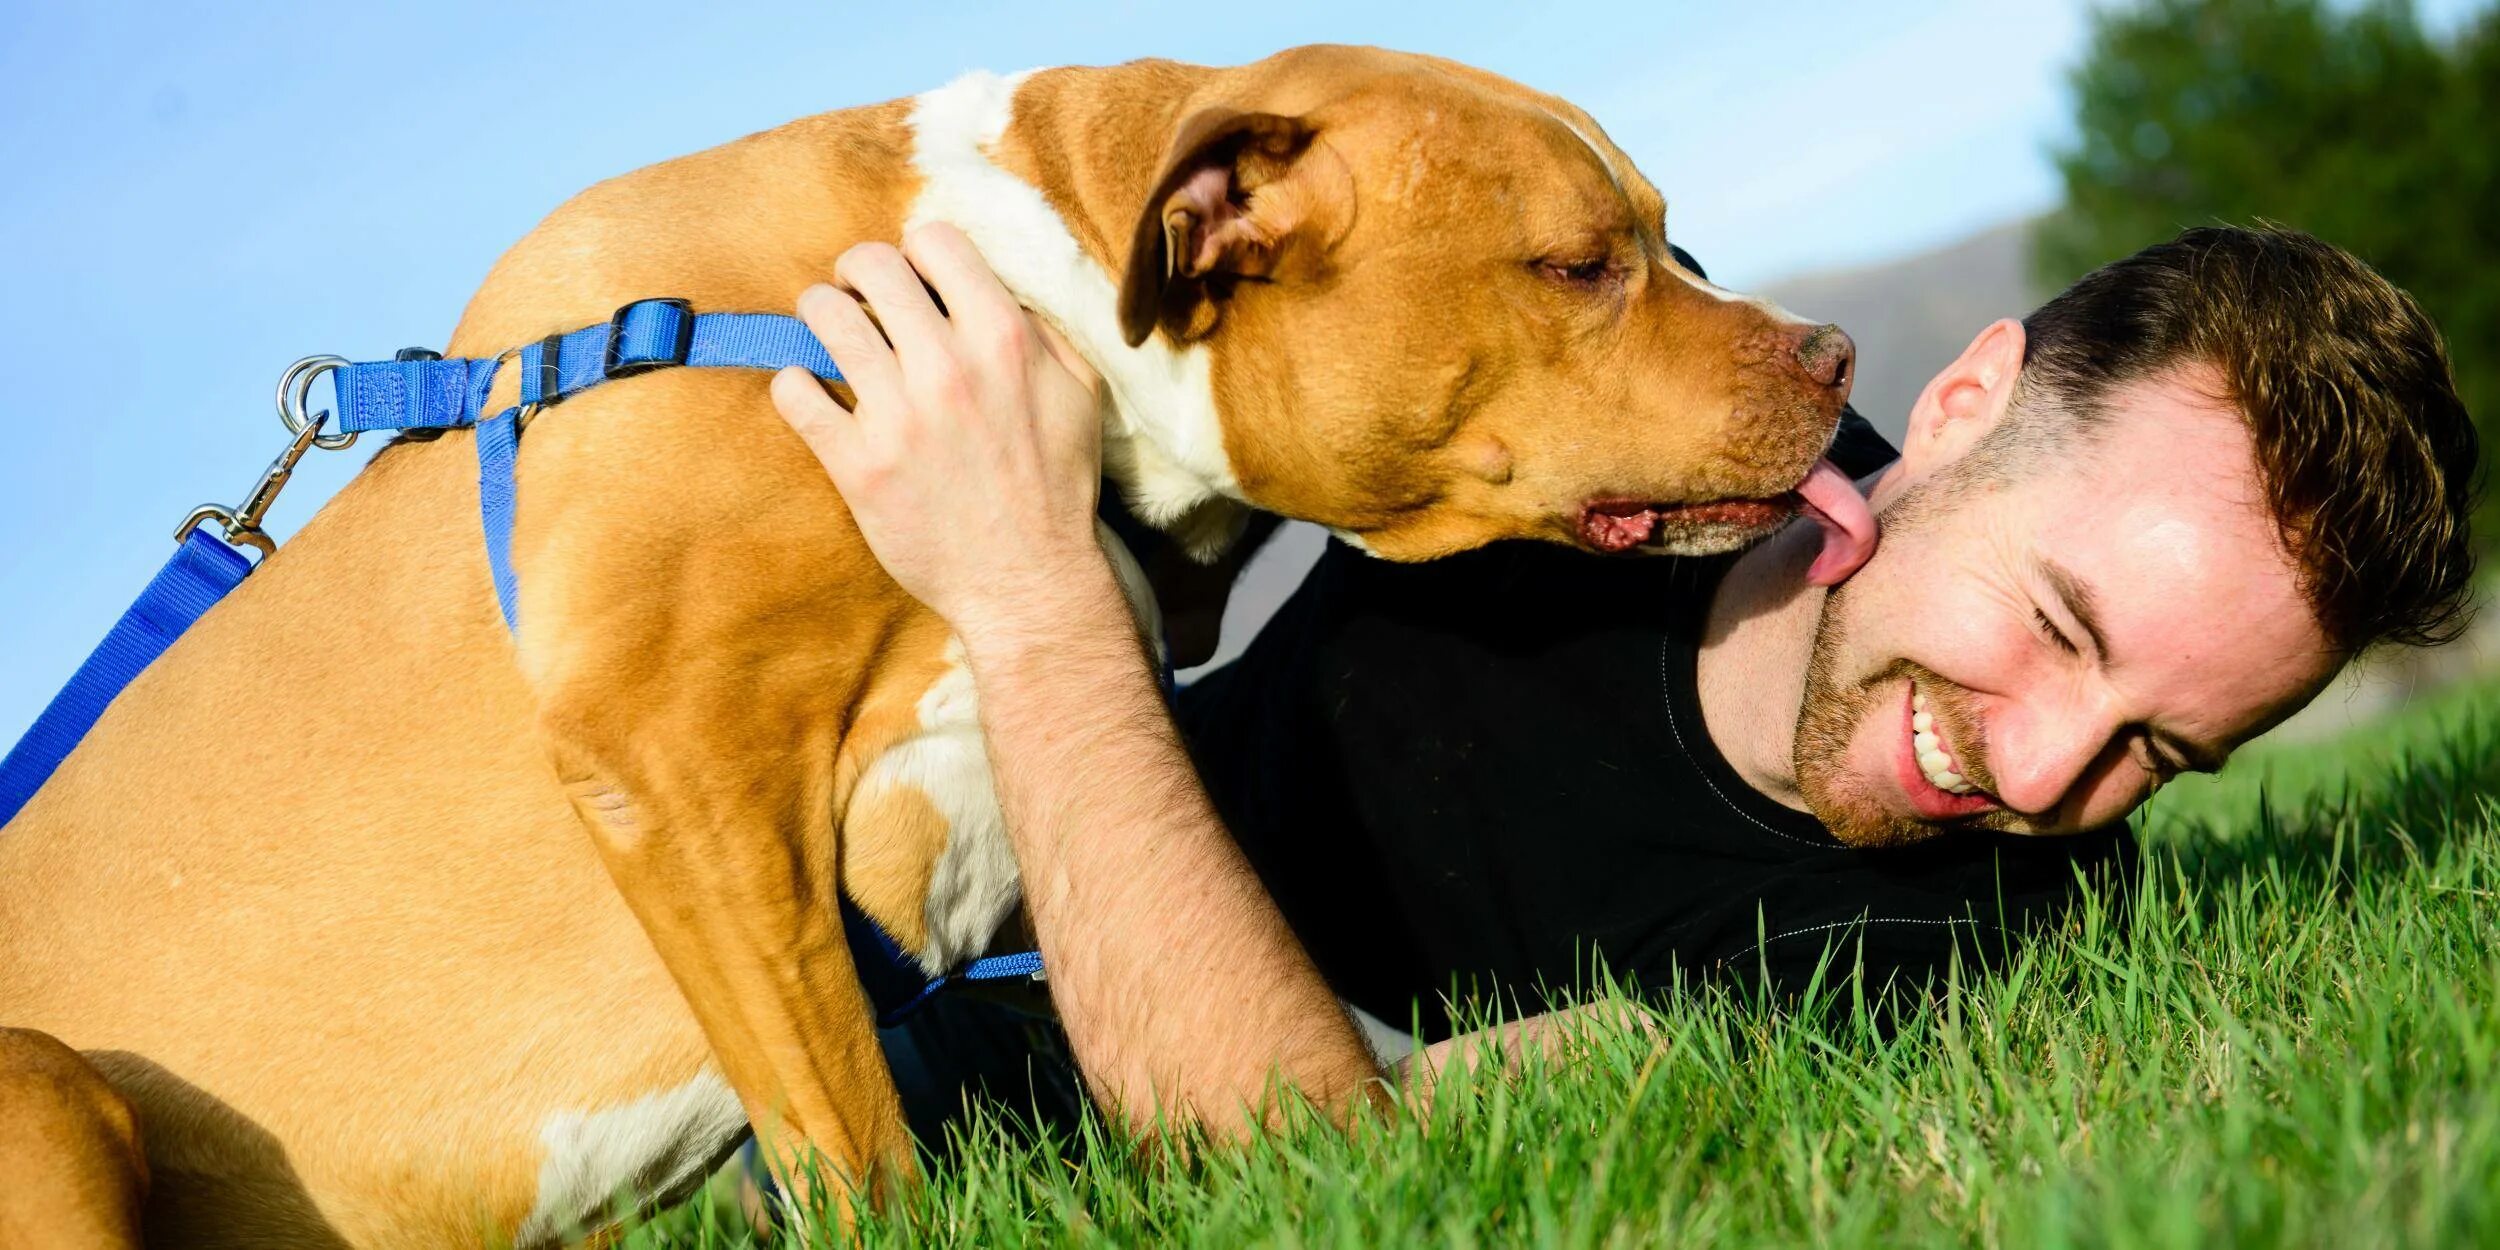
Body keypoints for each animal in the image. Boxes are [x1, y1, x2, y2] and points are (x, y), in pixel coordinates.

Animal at [0, 48, 1860, 1250]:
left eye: (1671, 236)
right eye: (1580, 263)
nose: (1837, 352)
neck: (1029, 292)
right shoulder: (674, 771)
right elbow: (855, 1136)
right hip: (52, 1093)